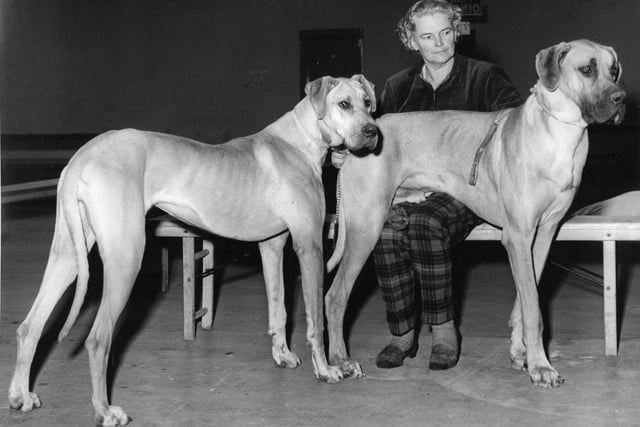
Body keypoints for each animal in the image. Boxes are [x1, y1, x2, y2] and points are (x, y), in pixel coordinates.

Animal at [10, 75, 378, 426]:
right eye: (343, 104)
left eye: (367, 103)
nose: (372, 132)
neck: (302, 139)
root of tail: (86, 151)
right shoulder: (310, 247)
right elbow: (315, 319)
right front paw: (327, 369)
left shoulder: (273, 246)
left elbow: (279, 310)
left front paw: (283, 355)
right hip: (126, 256)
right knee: (98, 338)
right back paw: (106, 411)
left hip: (69, 253)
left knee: (30, 326)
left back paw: (20, 396)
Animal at [324, 39, 624, 388]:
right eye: (586, 69)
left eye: (613, 70)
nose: (620, 98)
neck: (559, 132)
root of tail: (359, 137)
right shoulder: (518, 237)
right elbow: (534, 310)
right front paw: (541, 366)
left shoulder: (543, 234)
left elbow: (525, 300)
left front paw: (521, 353)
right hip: (366, 229)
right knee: (335, 296)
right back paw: (340, 361)